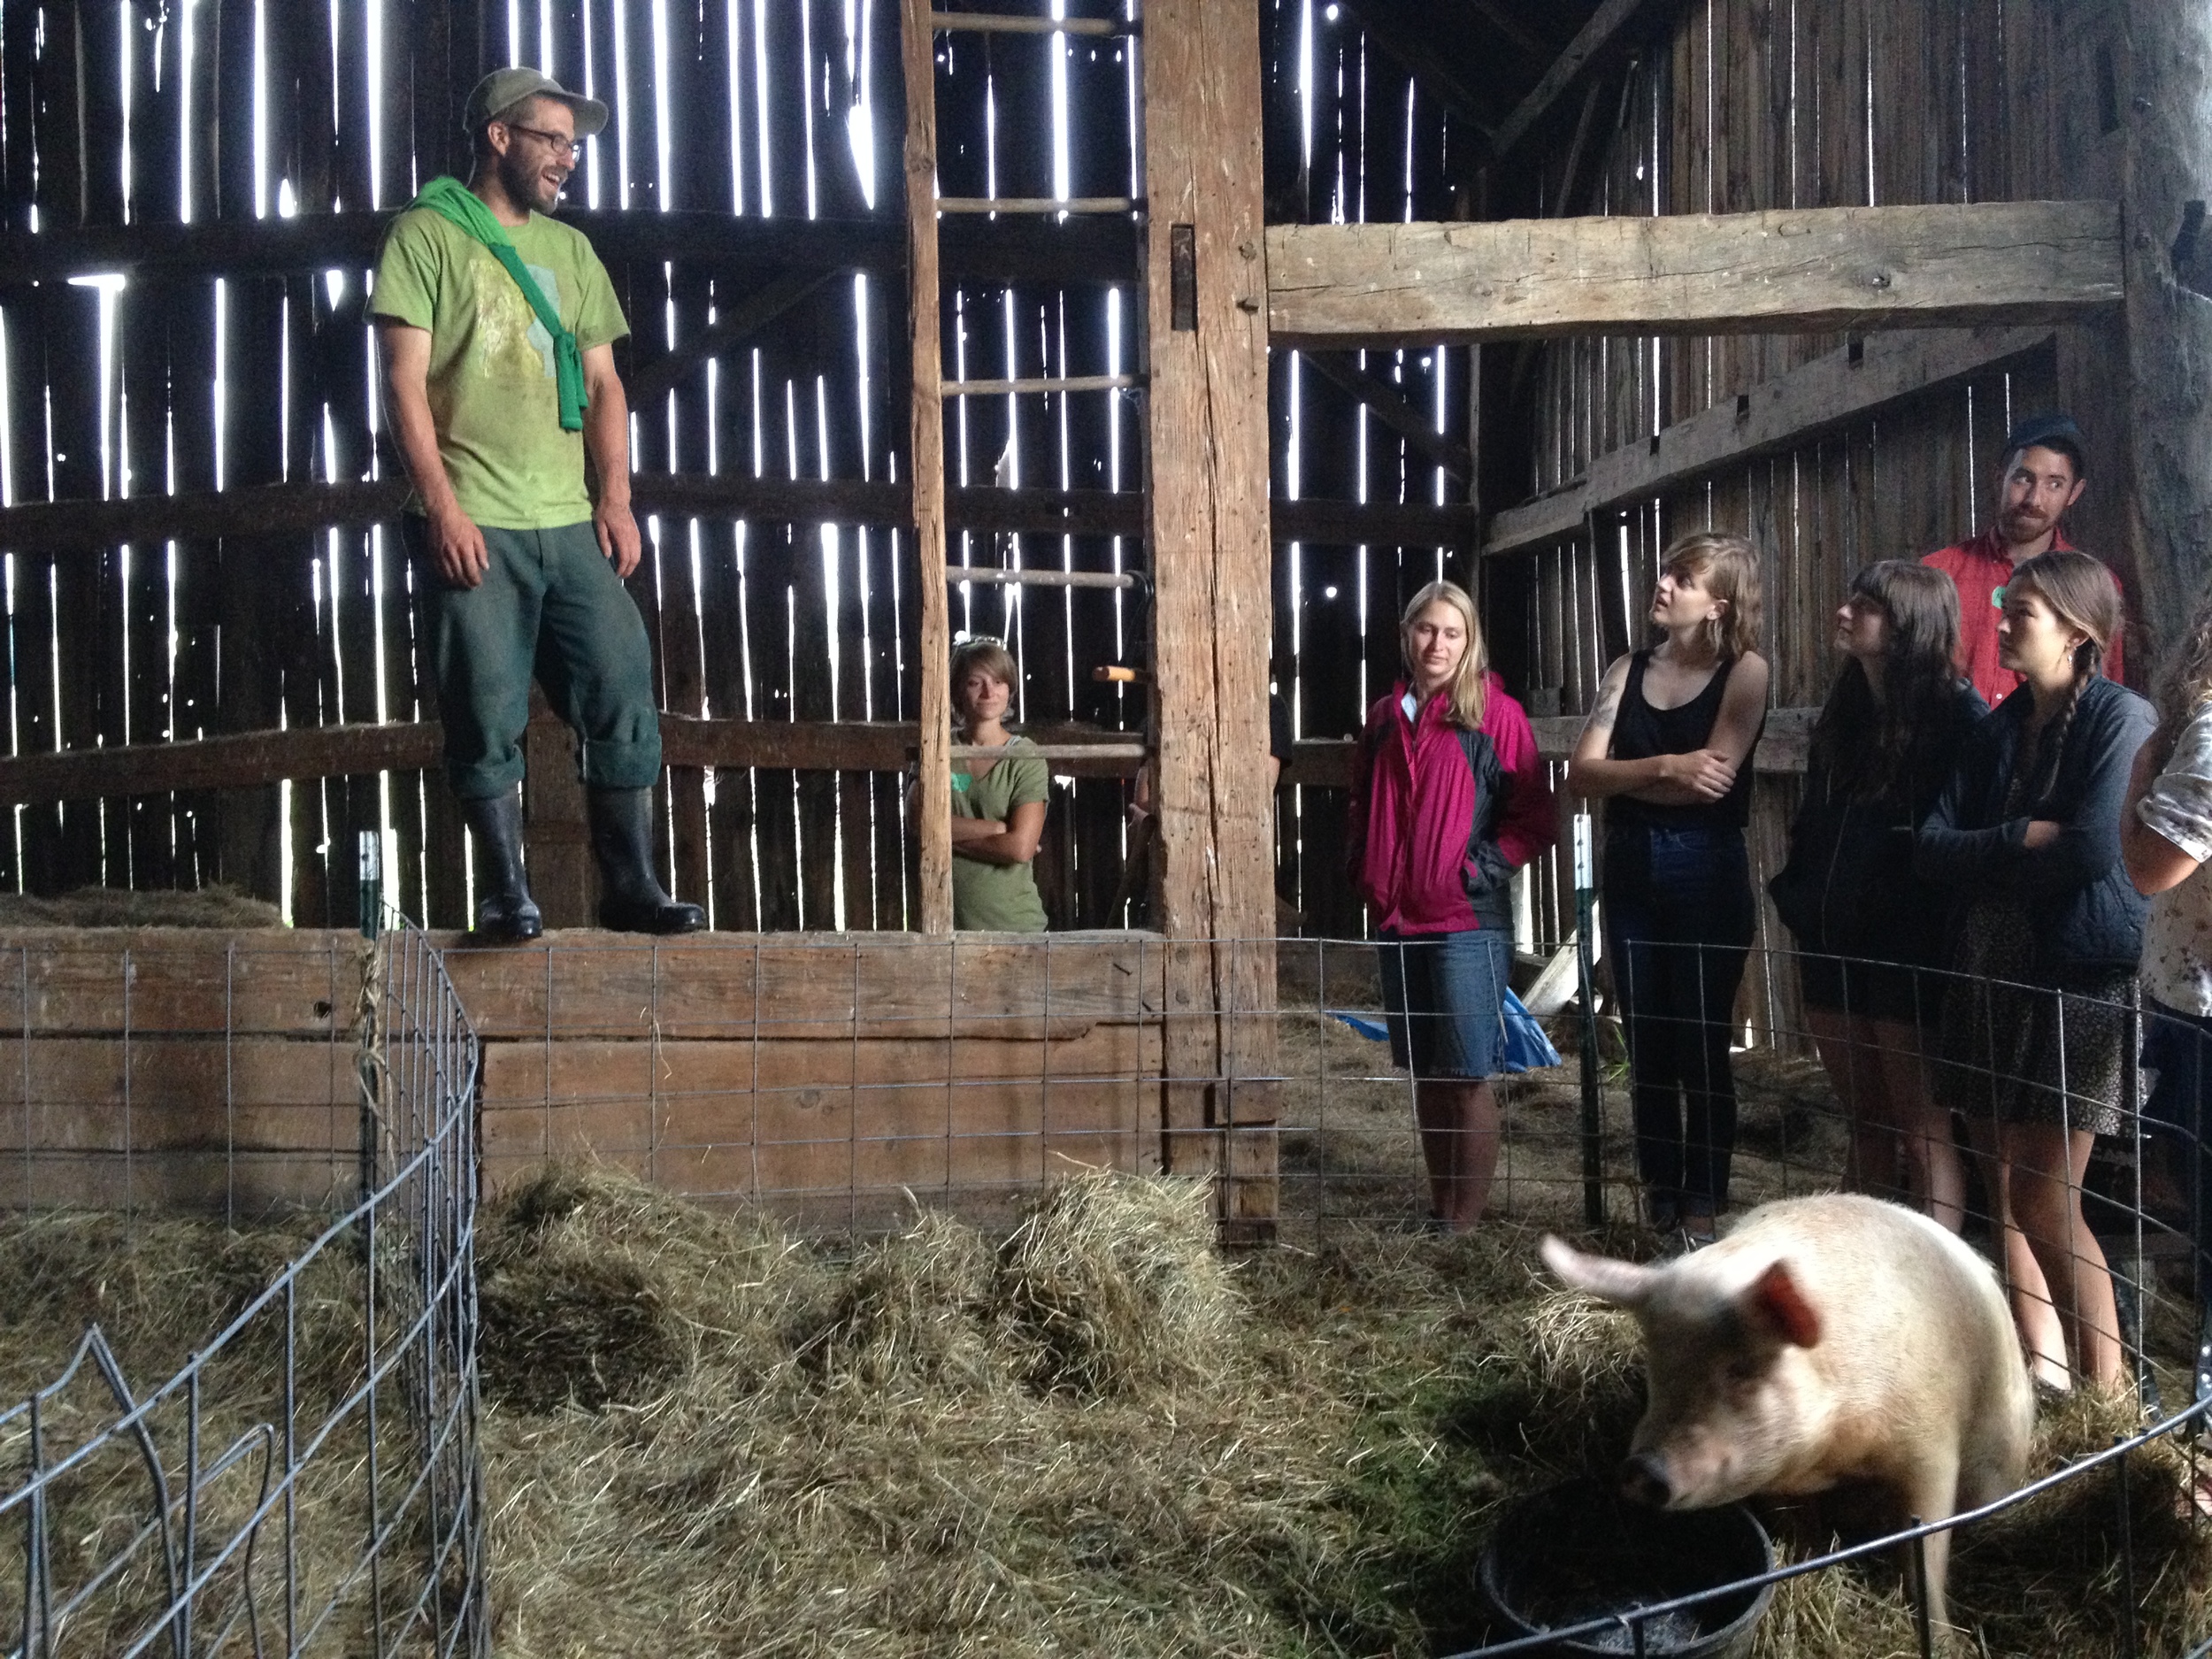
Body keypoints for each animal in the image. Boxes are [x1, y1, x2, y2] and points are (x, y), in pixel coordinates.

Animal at [1540, 1194, 2035, 1637]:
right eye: (1656, 1363)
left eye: (1741, 1369)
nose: (1639, 1468)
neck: (1832, 1455)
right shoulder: (1776, 1478)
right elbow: (1799, 1534)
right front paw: (1807, 1565)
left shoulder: (1930, 1443)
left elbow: (1926, 1548)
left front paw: (1947, 1639)